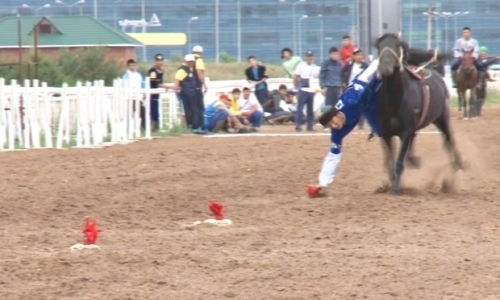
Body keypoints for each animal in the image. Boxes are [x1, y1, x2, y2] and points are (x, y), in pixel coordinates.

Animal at [376, 33, 464, 195]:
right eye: (379, 46)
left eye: (397, 45)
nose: (386, 67)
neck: (395, 99)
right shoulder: (385, 133)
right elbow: (390, 160)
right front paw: (392, 183)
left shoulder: (405, 131)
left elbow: (399, 161)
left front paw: (395, 188)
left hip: (442, 117)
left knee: (449, 139)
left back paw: (459, 164)